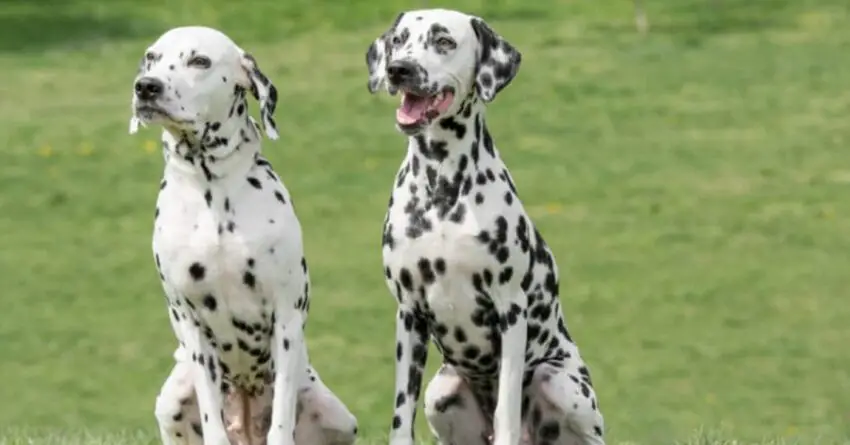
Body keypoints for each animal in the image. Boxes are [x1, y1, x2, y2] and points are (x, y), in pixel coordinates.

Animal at [129, 26, 358, 444]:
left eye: (199, 60)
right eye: (151, 58)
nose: (146, 87)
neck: (212, 190)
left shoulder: (286, 317)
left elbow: (282, 416)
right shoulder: (191, 323)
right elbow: (211, 416)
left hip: (337, 418)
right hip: (171, 402)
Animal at [364, 8, 604, 444]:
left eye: (443, 41)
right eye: (398, 40)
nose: (398, 69)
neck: (442, 188)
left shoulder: (510, 311)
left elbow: (506, 406)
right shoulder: (408, 313)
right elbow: (400, 414)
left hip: (560, 382)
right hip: (440, 391)